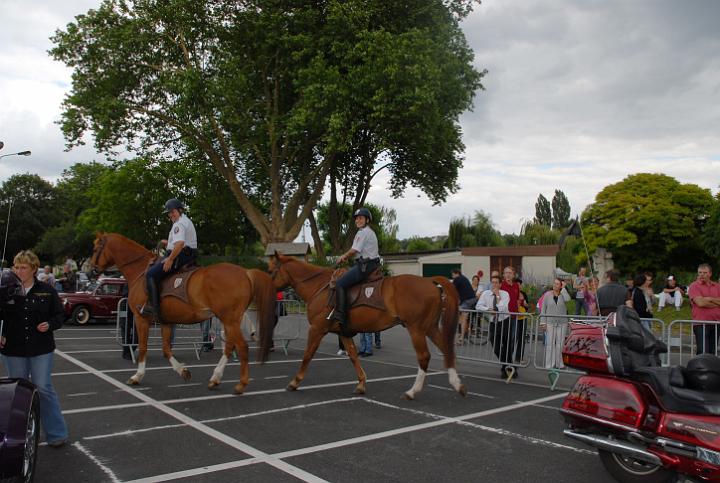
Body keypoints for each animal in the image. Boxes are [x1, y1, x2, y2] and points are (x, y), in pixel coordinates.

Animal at [90, 233, 276, 394]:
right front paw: (183, 371)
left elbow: (143, 347)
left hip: (229, 319)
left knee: (242, 347)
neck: (140, 270)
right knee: (230, 347)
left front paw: (137, 376)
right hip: (229, 320)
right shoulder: (166, 322)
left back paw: (241, 384)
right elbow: (166, 349)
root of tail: (246, 272)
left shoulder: (140, 318)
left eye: (95, 248)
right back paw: (215, 378)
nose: (91, 270)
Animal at [265, 253, 466, 400]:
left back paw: (412, 391)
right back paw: (458, 385)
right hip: (430, 328)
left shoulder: (316, 329)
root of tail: (429, 281)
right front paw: (361, 384)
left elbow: (307, 355)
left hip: (416, 329)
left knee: (424, 357)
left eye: (270, 270)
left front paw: (295, 381)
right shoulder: (344, 333)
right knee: (447, 350)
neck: (319, 287)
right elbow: (353, 356)